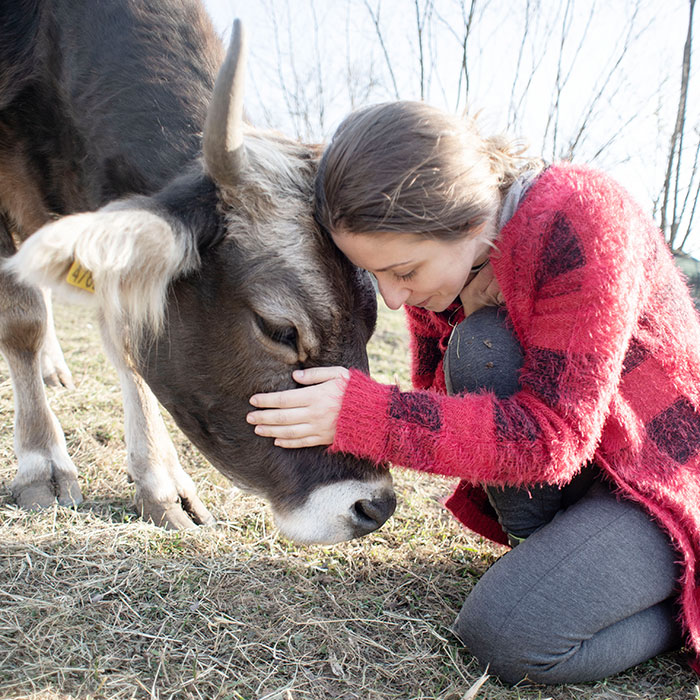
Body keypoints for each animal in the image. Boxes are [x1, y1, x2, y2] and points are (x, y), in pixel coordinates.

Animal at [0, 0, 396, 544]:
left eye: (372, 320)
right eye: (279, 329)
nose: (374, 506)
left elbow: (127, 338)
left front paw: (162, 482)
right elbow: (22, 320)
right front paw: (42, 464)